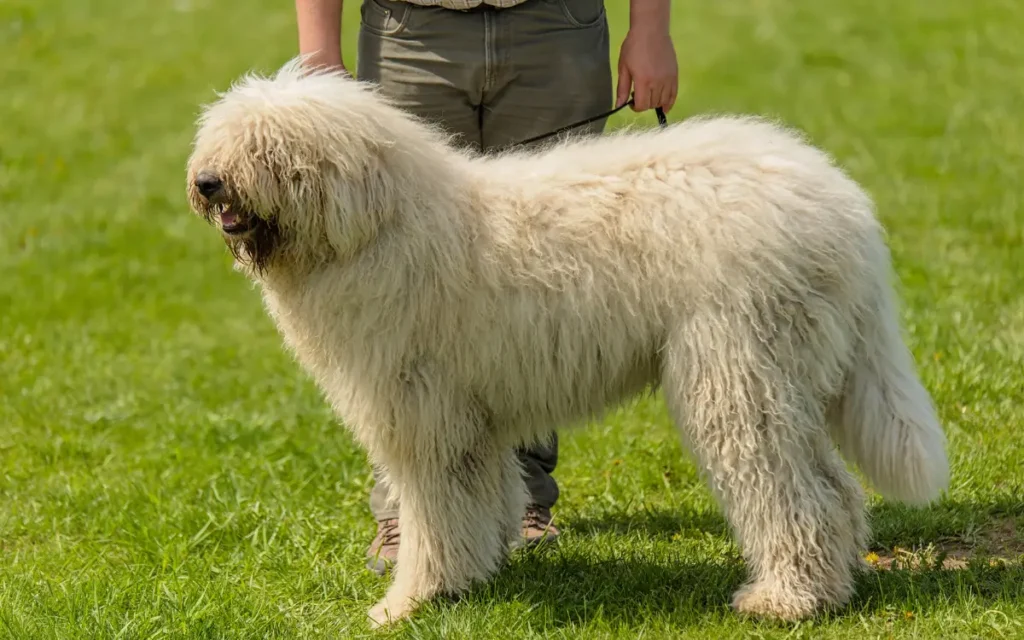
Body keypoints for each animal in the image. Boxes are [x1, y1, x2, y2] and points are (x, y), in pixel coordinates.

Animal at [184, 62, 950, 626]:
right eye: (223, 135)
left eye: (271, 148)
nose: (206, 181)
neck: (378, 225)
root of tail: (844, 210)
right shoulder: (468, 416)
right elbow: (472, 502)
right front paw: (471, 577)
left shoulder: (422, 412)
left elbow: (433, 513)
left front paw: (407, 601)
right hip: (791, 374)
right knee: (834, 490)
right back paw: (832, 585)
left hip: (738, 374)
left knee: (794, 495)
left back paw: (785, 600)